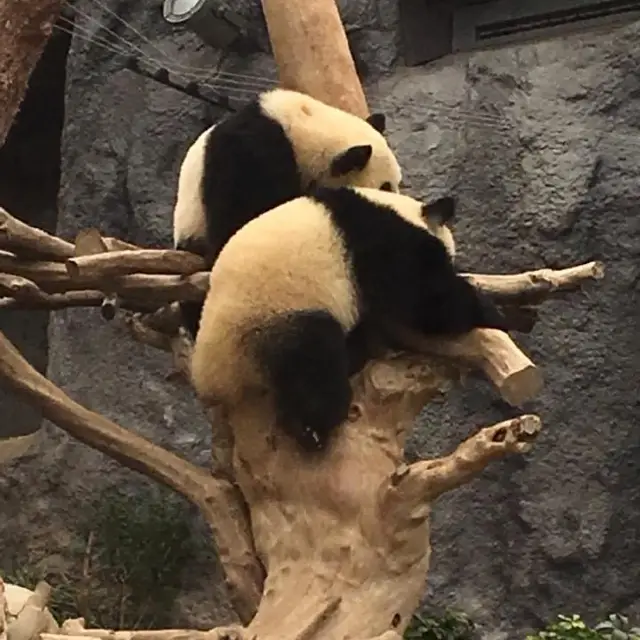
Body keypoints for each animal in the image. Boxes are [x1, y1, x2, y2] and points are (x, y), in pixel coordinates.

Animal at [190, 185, 510, 456]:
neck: (397, 209)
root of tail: (212, 378)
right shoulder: (384, 244)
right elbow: (423, 297)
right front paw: (491, 312)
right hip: (276, 316)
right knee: (313, 365)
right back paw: (313, 428)